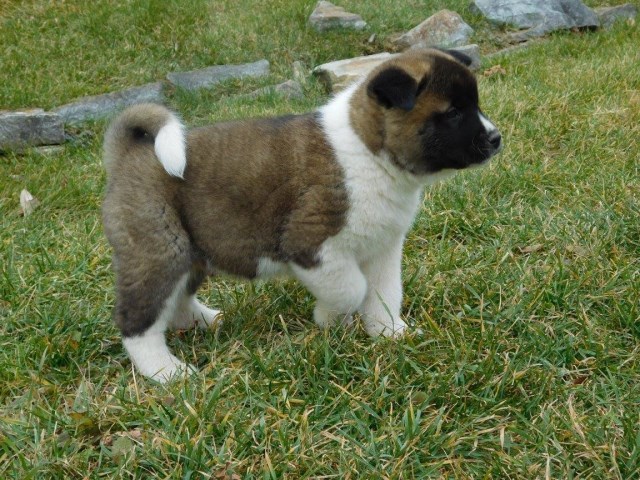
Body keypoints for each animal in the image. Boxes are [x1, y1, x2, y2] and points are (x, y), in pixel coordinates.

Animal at [102, 47, 502, 380]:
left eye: (475, 105)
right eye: (453, 113)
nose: (496, 139)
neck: (370, 151)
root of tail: (130, 154)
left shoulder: (383, 249)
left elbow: (385, 295)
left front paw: (391, 335)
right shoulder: (313, 246)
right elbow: (352, 289)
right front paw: (329, 319)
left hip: (190, 253)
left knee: (178, 301)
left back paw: (208, 321)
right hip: (159, 252)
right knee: (138, 323)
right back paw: (166, 372)